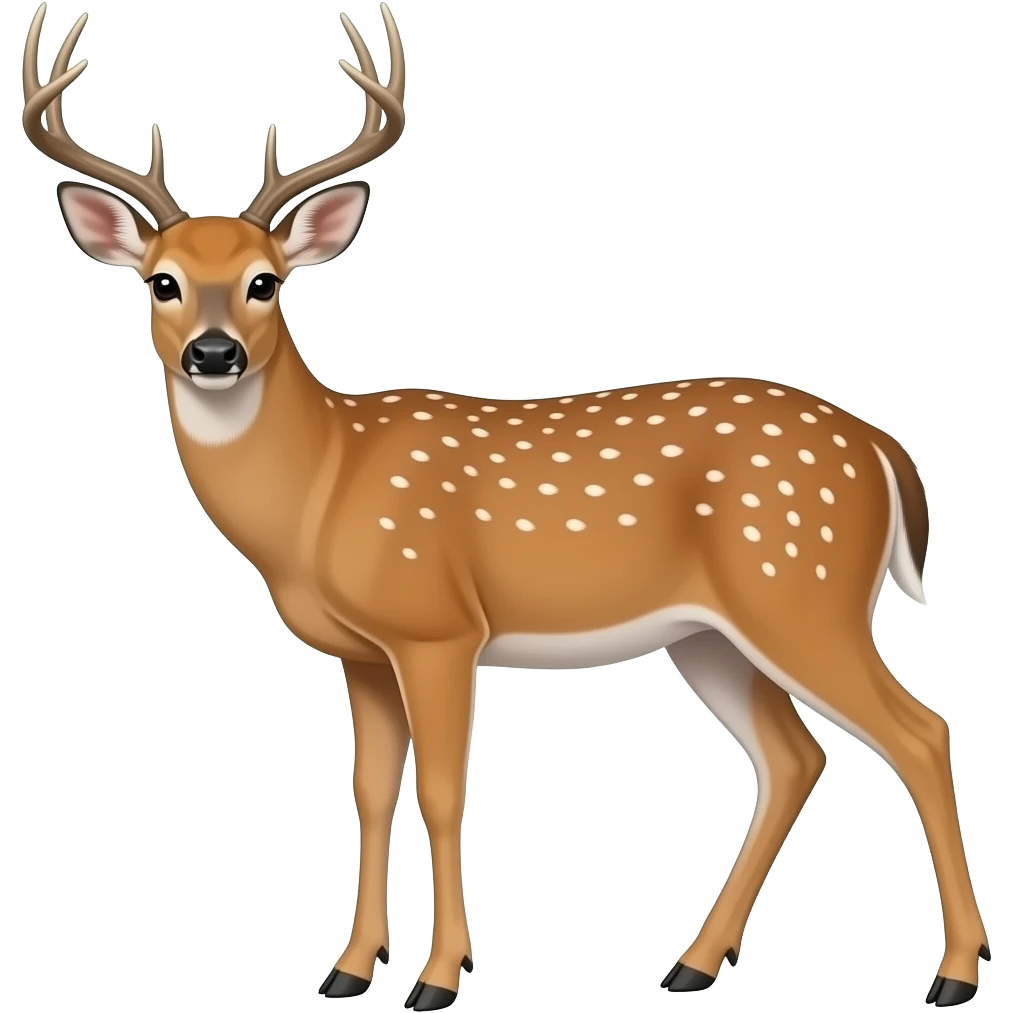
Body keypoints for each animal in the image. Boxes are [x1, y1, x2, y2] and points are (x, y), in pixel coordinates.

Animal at [21, 4, 988, 1009]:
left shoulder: (439, 626)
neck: (325, 483)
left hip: (801, 587)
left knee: (920, 731)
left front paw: (438, 977)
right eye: (161, 281)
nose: (214, 354)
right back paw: (690, 960)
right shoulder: (362, 653)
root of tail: (882, 450)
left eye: (266, 280)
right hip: (711, 632)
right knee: (794, 756)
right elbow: (371, 790)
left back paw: (952, 974)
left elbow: (445, 792)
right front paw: (348, 969)